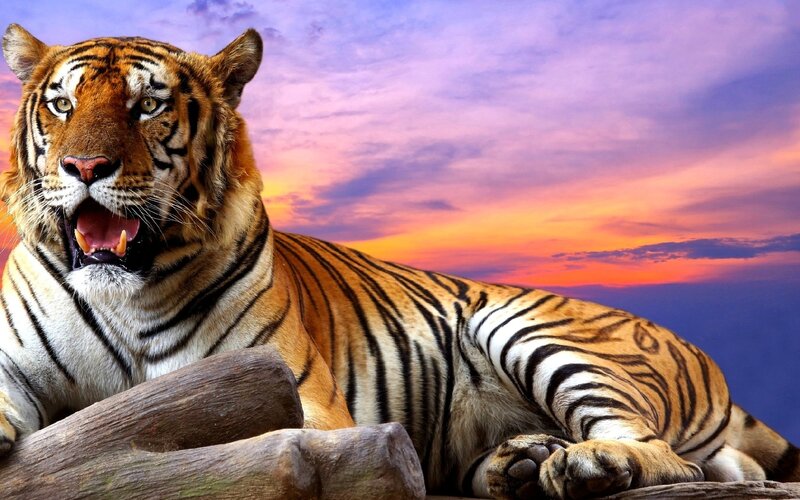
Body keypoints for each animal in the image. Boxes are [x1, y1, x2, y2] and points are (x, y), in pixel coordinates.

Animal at [0, 23, 796, 499]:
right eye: (62, 104)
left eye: (147, 107)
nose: (84, 166)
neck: (124, 292)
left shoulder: (300, 402)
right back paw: (517, 463)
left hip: (533, 330)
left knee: (666, 454)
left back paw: (581, 465)